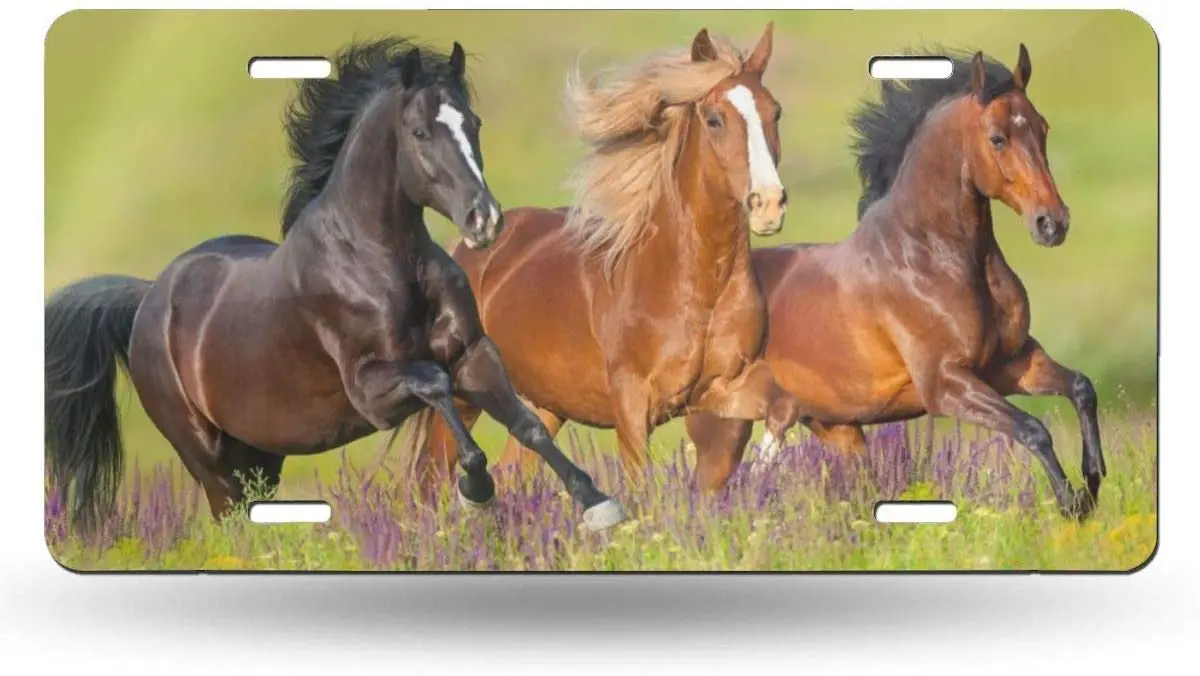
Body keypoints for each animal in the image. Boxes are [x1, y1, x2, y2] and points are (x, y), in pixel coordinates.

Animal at [44, 36, 627, 536]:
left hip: (258, 456)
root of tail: (147, 299)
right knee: (230, 520)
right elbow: (436, 384)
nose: (484, 220)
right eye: (420, 132)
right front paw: (476, 488)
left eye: (474, 122)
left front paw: (598, 506)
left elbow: (527, 423)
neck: (384, 262)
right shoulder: (372, 393)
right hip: (208, 458)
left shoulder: (473, 353)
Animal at [397, 23, 795, 493]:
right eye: (715, 119)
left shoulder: (721, 387)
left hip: (545, 405)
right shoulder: (632, 404)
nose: (768, 204)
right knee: (430, 480)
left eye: (775, 113)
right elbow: (641, 483)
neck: (694, 284)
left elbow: (781, 409)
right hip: (464, 396)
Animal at [683, 45, 1105, 521]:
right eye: (998, 138)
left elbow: (1081, 388)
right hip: (724, 431)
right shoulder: (946, 384)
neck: (931, 256)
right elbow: (1033, 429)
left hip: (836, 428)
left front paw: (1093, 481)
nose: (1052, 223)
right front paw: (1072, 504)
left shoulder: (1011, 363)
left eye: (1042, 128)